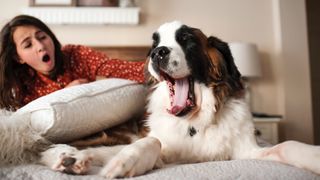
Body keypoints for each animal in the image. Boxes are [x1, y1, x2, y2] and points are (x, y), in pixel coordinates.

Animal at [40, 20, 320, 177]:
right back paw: (70, 157)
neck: (195, 122)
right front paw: (125, 161)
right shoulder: (160, 145)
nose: (157, 53)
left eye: (186, 40)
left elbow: (288, 145)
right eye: (153, 45)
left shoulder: (246, 150)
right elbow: (151, 142)